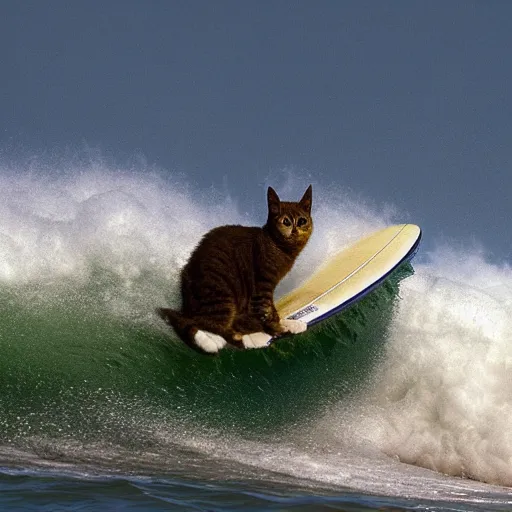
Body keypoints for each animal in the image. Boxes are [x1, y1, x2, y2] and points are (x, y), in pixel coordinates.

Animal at [158, 185, 314, 356]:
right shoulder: (263, 284)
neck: (279, 247)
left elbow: (271, 311)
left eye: (302, 221)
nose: (295, 230)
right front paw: (279, 330)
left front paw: (287, 324)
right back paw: (244, 339)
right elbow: (267, 310)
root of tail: (186, 306)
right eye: (286, 221)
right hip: (222, 292)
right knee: (208, 324)